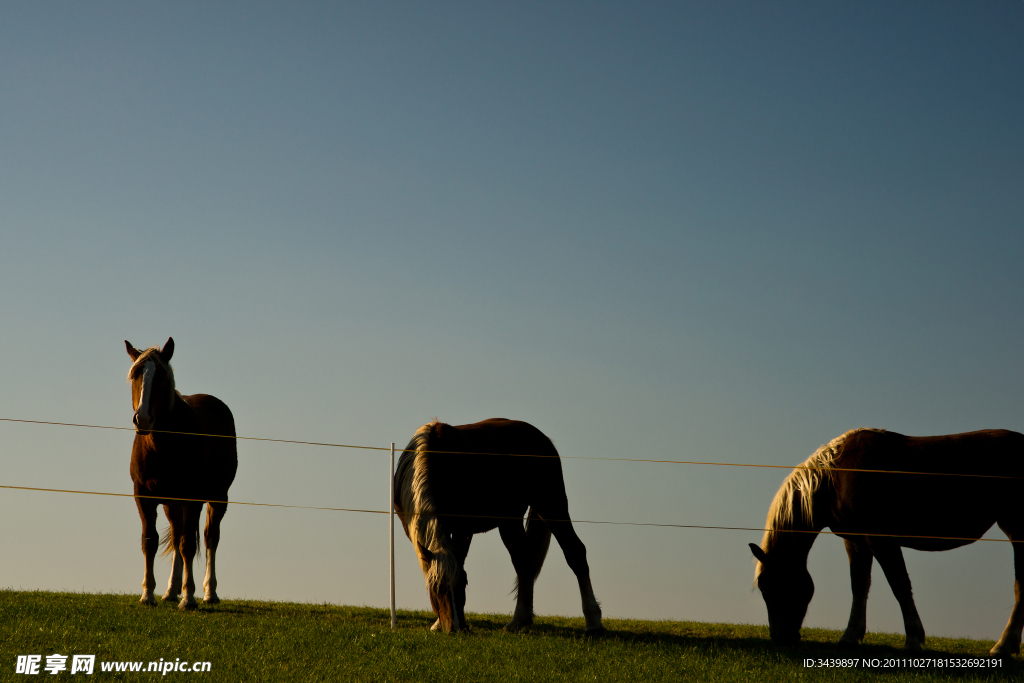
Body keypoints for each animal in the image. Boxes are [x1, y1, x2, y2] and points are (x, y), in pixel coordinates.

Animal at [124, 339, 236, 610]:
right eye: (135, 374)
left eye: (163, 375)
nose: (143, 419)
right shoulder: (144, 497)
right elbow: (150, 541)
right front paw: (148, 594)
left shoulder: (192, 499)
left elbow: (189, 544)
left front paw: (189, 598)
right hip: (171, 504)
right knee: (175, 536)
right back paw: (171, 591)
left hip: (218, 497)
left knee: (210, 538)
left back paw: (209, 593)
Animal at [389, 417, 598, 634]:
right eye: (437, 588)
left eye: (464, 582)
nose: (455, 628)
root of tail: (542, 438)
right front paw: (439, 623)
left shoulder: (463, 529)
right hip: (510, 520)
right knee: (524, 561)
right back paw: (519, 621)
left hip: (552, 505)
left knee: (575, 552)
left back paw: (593, 622)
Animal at [745, 430, 1024, 655]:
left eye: (768, 587)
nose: (780, 638)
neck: (835, 477)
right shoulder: (856, 542)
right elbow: (859, 586)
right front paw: (850, 636)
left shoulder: (881, 539)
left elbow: (899, 585)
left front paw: (913, 639)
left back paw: (1003, 646)